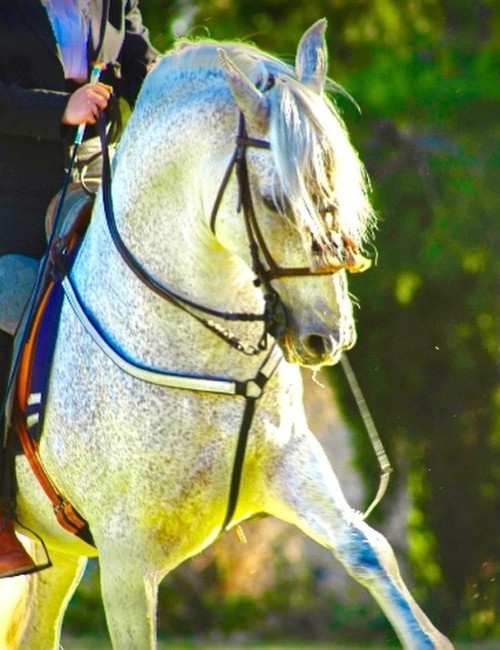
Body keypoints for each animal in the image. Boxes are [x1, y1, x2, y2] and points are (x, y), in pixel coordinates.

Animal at [1, 20, 452, 648]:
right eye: (275, 201)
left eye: (339, 190)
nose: (328, 336)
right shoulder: (126, 565)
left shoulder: (292, 467)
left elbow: (370, 554)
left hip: (58, 555)